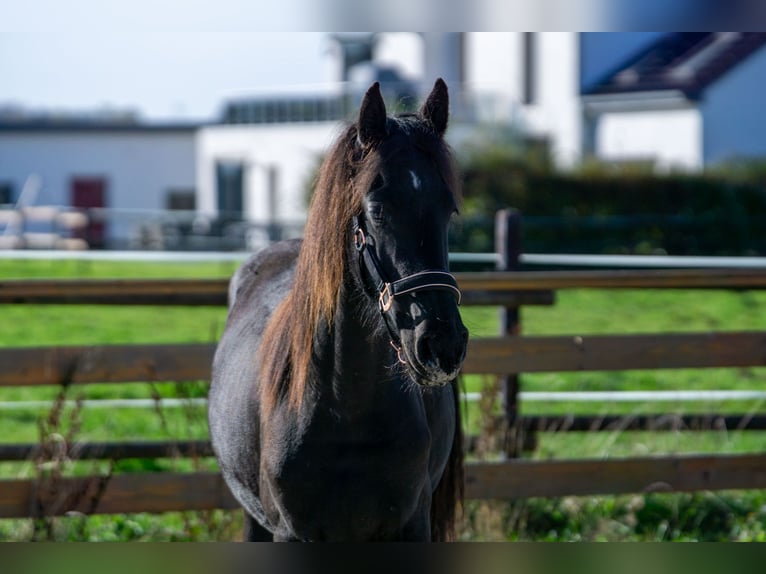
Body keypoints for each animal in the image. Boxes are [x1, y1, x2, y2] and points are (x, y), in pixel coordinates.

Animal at [212, 81, 474, 544]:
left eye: (449, 209)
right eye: (378, 210)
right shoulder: (290, 533)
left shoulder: (412, 527)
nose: (442, 343)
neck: (346, 408)